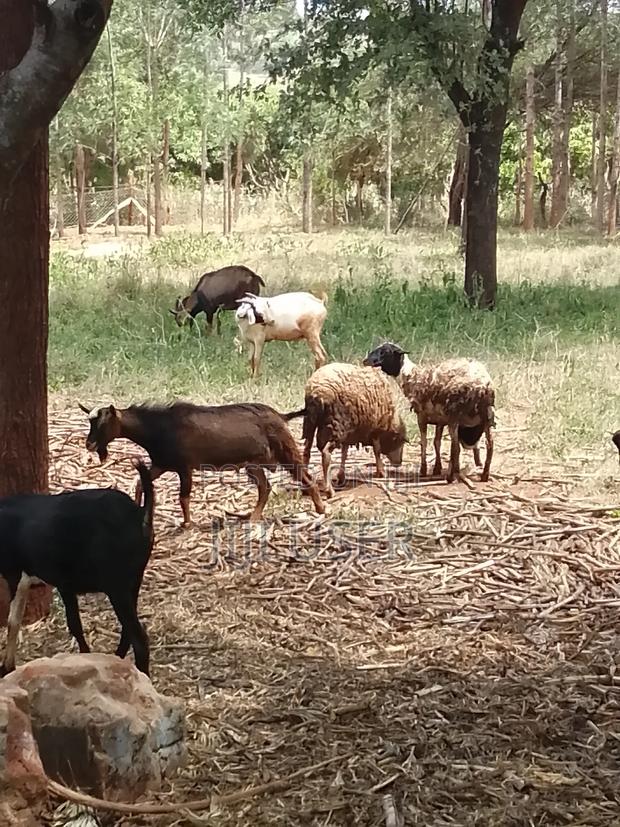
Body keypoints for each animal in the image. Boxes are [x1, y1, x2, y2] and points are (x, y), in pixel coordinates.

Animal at [0, 460, 154, 677]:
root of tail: (139, 514)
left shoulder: (18, 575)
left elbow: (15, 621)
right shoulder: (58, 584)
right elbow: (72, 623)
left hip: (117, 586)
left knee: (139, 639)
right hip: (134, 581)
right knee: (128, 632)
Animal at [80, 401, 325, 526]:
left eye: (103, 424)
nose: (89, 444)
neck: (159, 427)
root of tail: (281, 416)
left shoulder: (184, 467)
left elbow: (183, 497)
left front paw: (187, 524)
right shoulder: (161, 464)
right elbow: (142, 482)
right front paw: (140, 507)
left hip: (284, 450)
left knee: (305, 476)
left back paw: (321, 509)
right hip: (253, 464)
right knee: (265, 488)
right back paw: (253, 516)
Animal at [299, 363, 407, 497]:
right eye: (400, 441)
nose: (399, 463)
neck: (390, 419)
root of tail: (317, 391)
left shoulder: (349, 433)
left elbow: (344, 453)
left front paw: (341, 476)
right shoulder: (374, 430)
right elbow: (377, 450)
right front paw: (381, 472)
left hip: (311, 423)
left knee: (306, 452)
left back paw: (305, 487)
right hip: (335, 426)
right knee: (326, 454)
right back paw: (329, 490)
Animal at [364, 342, 495, 483]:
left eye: (385, 352)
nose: (365, 361)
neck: (411, 376)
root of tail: (482, 386)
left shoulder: (421, 416)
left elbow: (424, 442)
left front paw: (424, 470)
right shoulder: (440, 420)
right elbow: (437, 442)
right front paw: (437, 468)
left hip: (455, 416)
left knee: (456, 447)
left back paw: (450, 477)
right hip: (487, 416)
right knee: (490, 445)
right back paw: (484, 475)